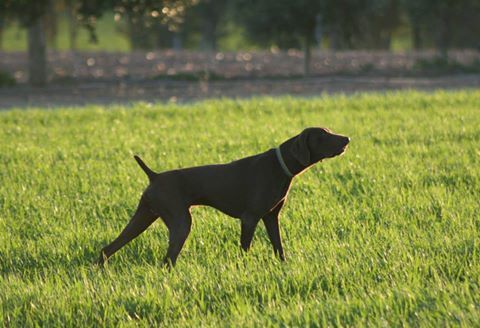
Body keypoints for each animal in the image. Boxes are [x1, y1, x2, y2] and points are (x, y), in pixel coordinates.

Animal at [98, 127, 348, 266]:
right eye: (322, 135)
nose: (347, 139)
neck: (280, 165)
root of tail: (155, 176)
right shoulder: (250, 218)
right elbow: (245, 249)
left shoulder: (270, 218)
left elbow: (279, 247)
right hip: (180, 222)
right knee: (167, 260)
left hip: (144, 216)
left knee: (107, 249)